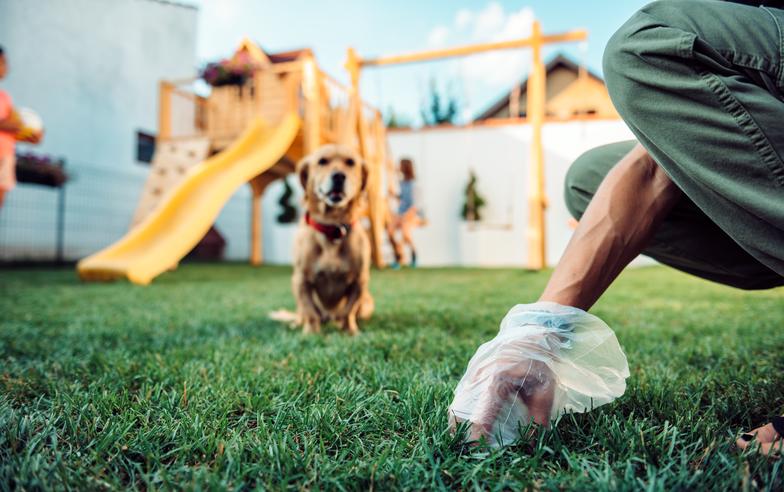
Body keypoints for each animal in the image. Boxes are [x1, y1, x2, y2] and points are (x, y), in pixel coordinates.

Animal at [290, 142, 376, 334]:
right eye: (322, 161)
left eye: (350, 162)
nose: (338, 176)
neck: (332, 227)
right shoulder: (301, 280)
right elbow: (310, 311)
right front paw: (311, 333)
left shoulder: (360, 281)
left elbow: (348, 311)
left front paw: (350, 331)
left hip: (368, 302)